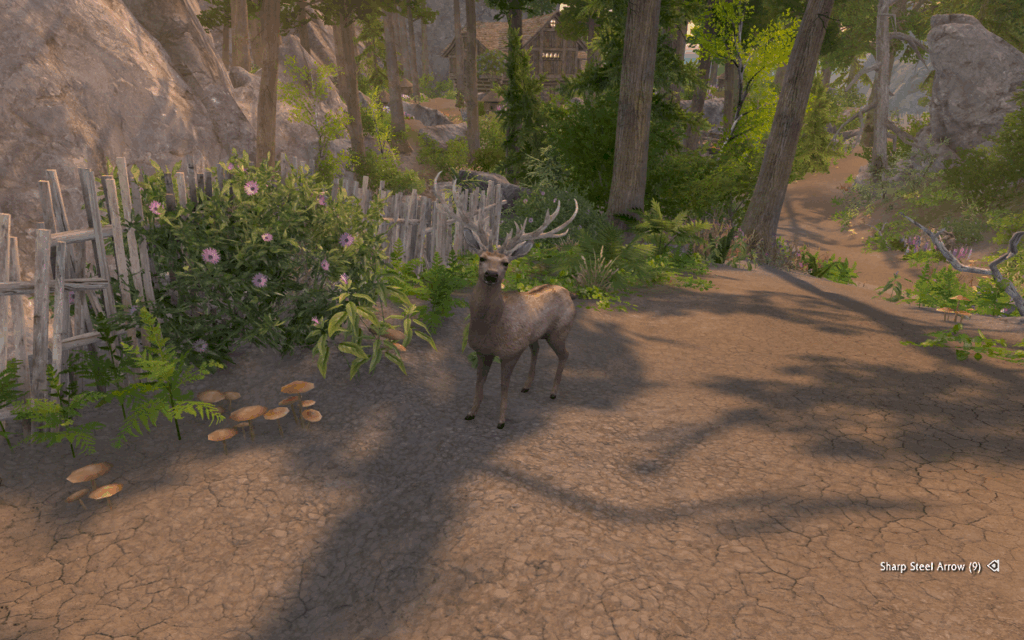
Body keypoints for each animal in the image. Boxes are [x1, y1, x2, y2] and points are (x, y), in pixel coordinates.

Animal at [432, 173, 579, 429]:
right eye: (481, 258)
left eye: (506, 263)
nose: (491, 275)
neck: (492, 327)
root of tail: (567, 292)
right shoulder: (483, 351)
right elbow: (479, 382)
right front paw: (471, 412)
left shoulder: (511, 352)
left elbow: (503, 385)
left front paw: (501, 421)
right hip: (536, 335)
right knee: (537, 349)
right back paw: (527, 386)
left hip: (560, 331)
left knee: (565, 354)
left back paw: (553, 392)